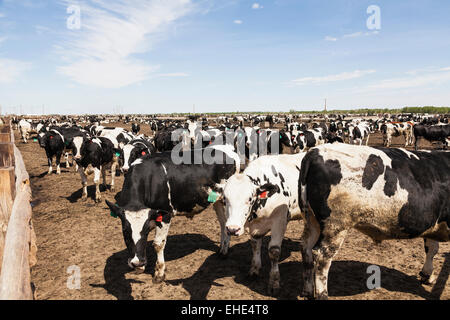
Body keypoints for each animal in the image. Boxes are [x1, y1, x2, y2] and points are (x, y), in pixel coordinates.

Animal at [105, 144, 241, 282]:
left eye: (145, 231)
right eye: (125, 232)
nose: (138, 262)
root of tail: (227, 147)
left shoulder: (165, 214)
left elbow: (158, 244)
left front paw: (159, 273)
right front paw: (140, 267)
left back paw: (224, 251)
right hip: (216, 200)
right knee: (223, 223)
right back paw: (222, 250)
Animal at [223, 154, 304, 296]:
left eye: (249, 199)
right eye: (225, 199)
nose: (232, 229)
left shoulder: (280, 221)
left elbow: (274, 251)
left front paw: (274, 283)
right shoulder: (255, 228)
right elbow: (255, 245)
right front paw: (254, 270)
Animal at [298, 144, 450, 298]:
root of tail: (315, 152)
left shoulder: (434, 223)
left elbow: (431, 248)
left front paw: (427, 275)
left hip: (311, 220)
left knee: (306, 248)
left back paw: (307, 291)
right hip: (335, 226)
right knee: (322, 257)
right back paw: (322, 294)